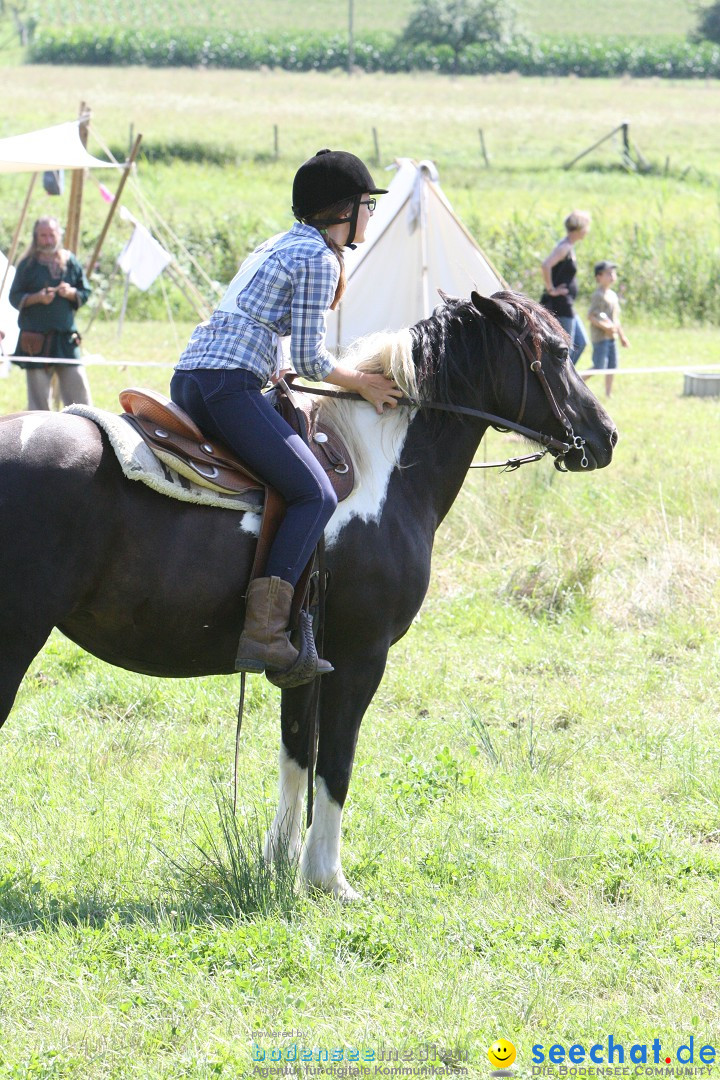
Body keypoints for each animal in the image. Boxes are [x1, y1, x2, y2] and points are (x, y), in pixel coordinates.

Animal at [0, 291, 617, 898]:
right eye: (560, 351)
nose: (605, 436)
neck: (383, 467)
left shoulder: (303, 661)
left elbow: (297, 752)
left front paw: (280, 861)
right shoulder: (359, 657)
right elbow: (336, 762)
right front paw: (328, 878)